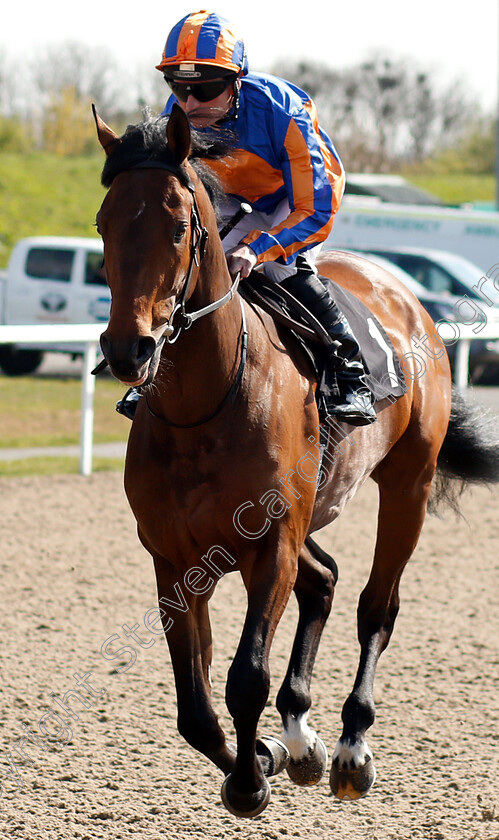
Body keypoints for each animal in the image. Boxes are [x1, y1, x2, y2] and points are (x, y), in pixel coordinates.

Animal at [94, 101, 499, 816]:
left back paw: (351, 747)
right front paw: (264, 754)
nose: (128, 349)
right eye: (102, 223)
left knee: (376, 605)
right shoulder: (173, 556)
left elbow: (243, 677)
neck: (206, 404)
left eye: (178, 227)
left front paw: (251, 779)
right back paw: (302, 735)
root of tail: (402, 291)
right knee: (325, 580)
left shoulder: (272, 542)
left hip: (408, 484)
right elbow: (195, 706)